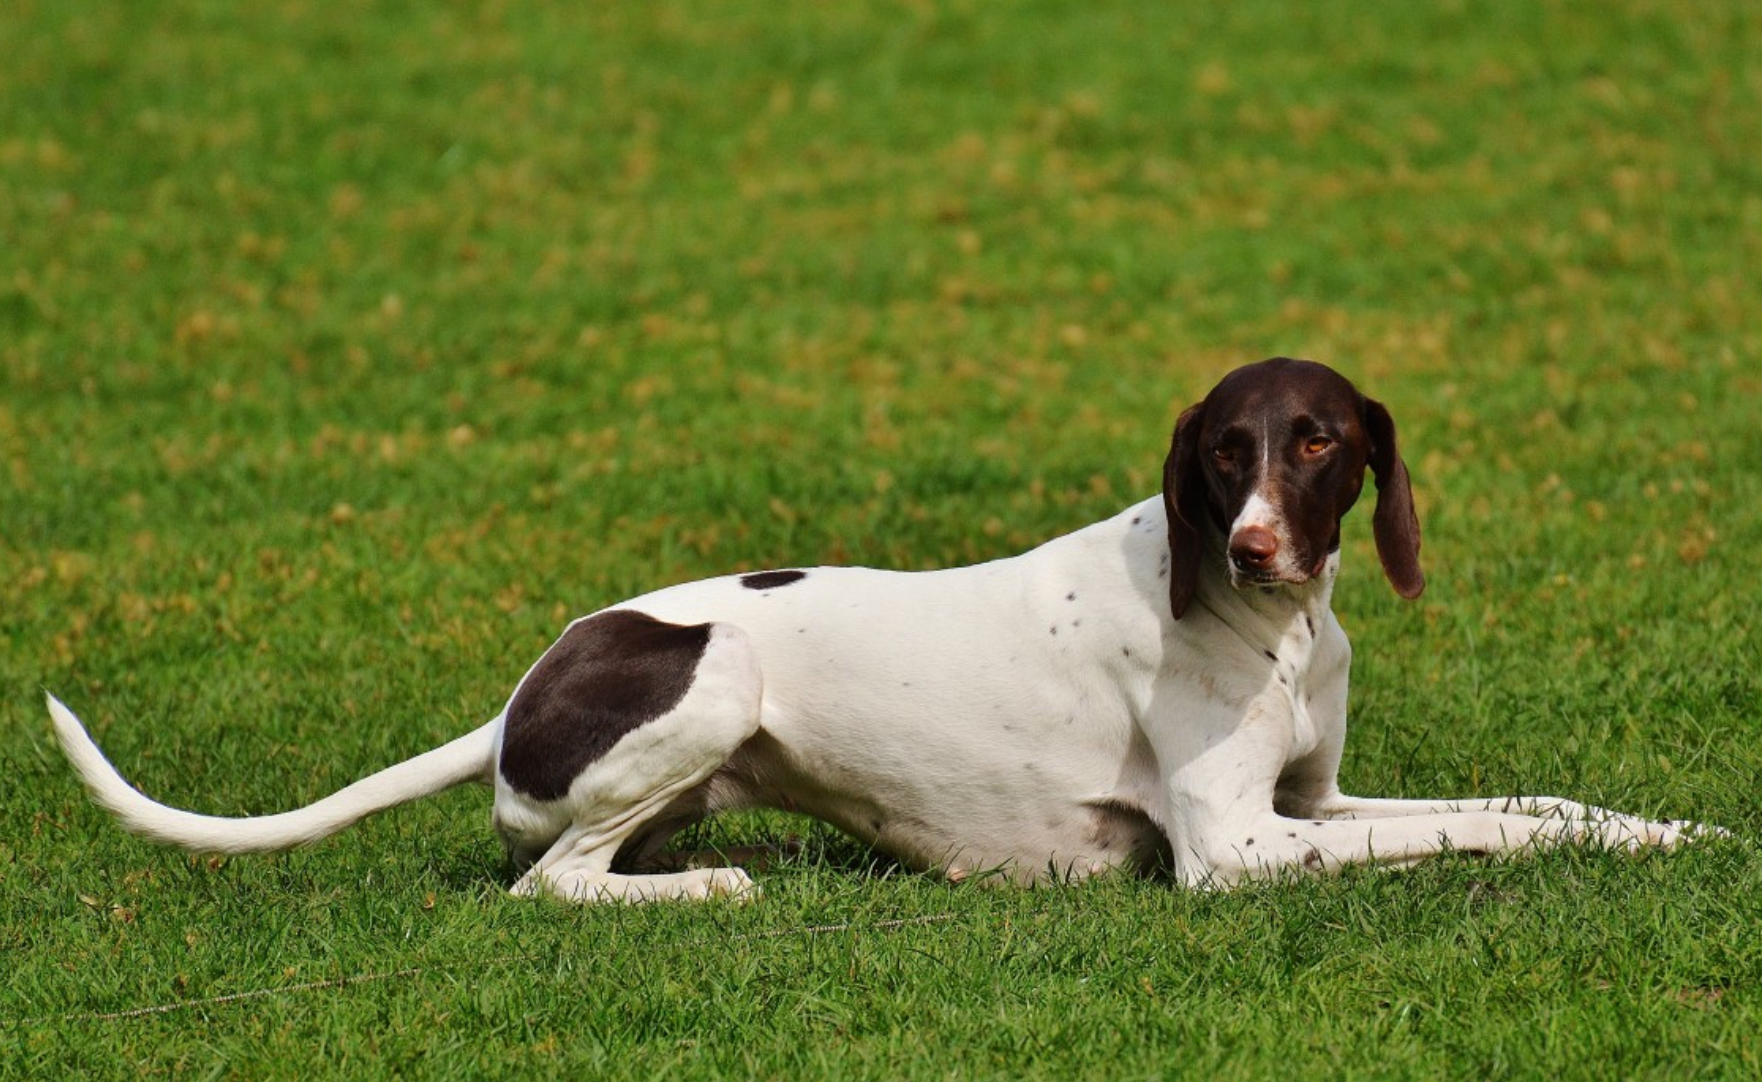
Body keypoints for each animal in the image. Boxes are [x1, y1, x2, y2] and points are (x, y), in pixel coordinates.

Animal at [44, 357, 1719, 909]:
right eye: (1221, 452)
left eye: (1317, 443)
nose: (1252, 543)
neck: (1280, 626)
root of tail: (528, 682)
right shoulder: (1239, 848)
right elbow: (1468, 831)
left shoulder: (1315, 796)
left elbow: (1527, 800)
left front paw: (1667, 829)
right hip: (712, 677)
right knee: (554, 883)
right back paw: (716, 885)